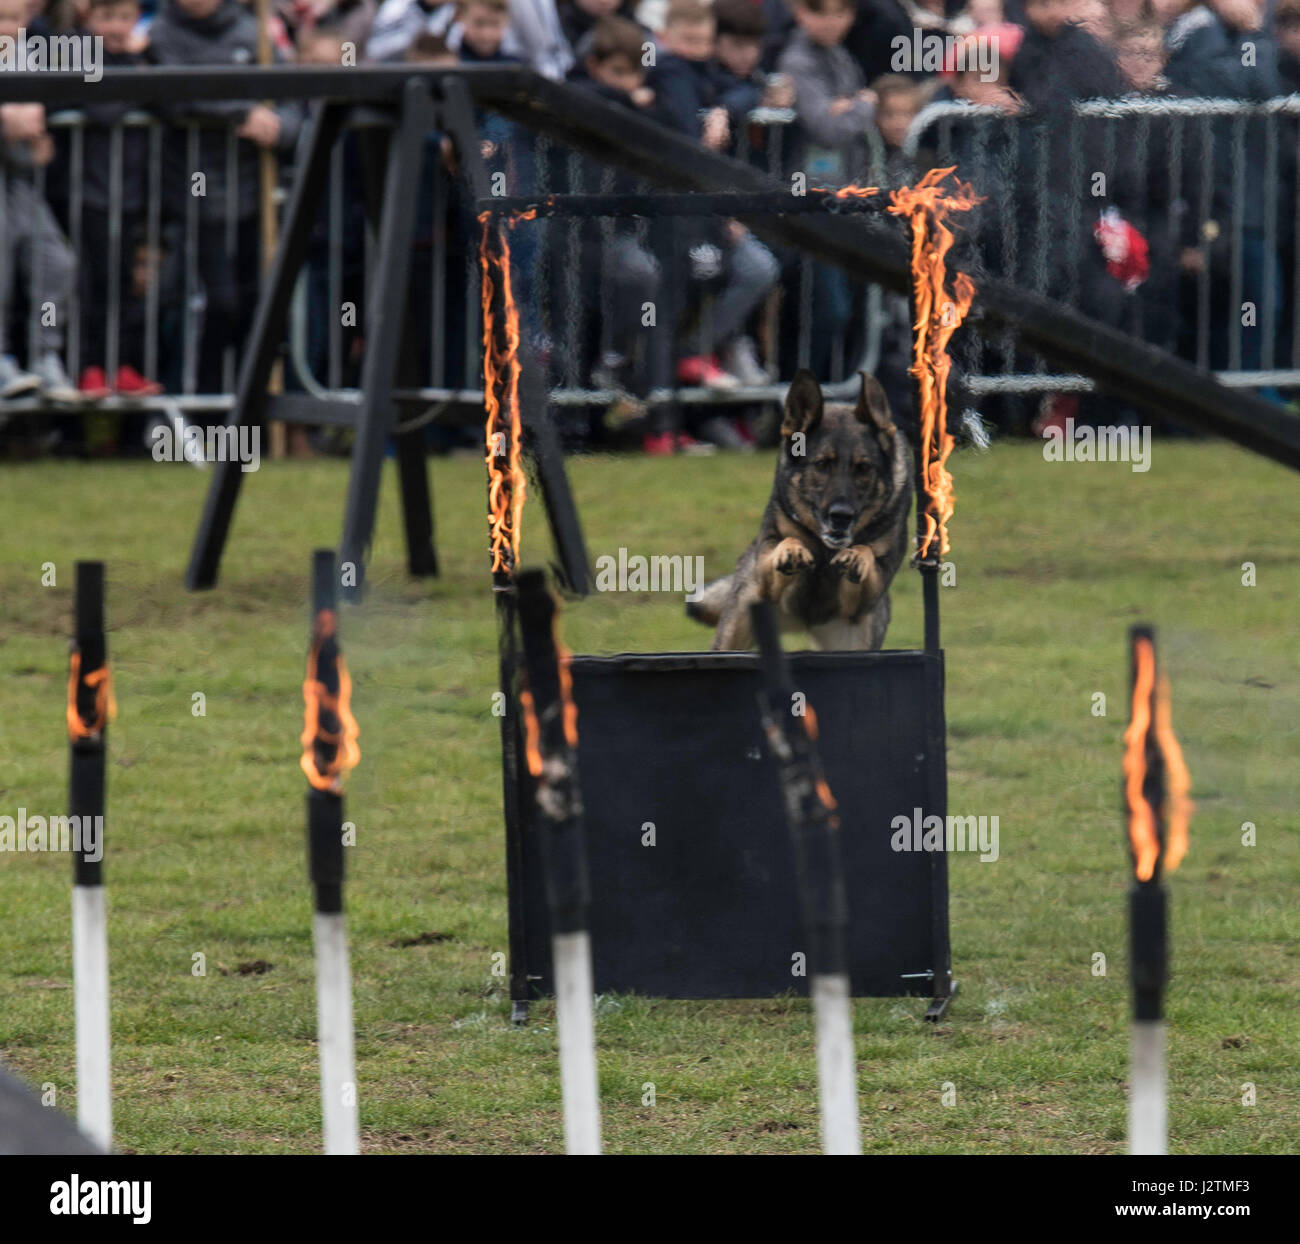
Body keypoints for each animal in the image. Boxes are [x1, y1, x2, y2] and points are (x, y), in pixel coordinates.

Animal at [686, 369, 909, 649]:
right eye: (822, 464)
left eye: (863, 468)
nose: (841, 517)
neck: (824, 549)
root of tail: (801, 623)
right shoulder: (767, 574)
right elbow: (784, 543)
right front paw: (791, 549)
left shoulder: (867, 596)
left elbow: (866, 552)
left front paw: (857, 555)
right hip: (735, 631)